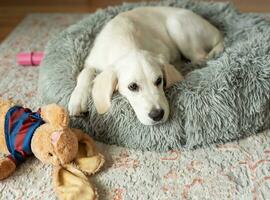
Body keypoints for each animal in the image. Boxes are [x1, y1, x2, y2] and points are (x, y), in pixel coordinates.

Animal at [68, 6, 224, 125]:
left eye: (159, 81)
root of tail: (217, 32)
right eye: (132, 86)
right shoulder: (92, 61)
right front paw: (77, 101)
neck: (127, 42)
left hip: (177, 25)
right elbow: (85, 73)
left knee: (200, 56)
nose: (157, 115)